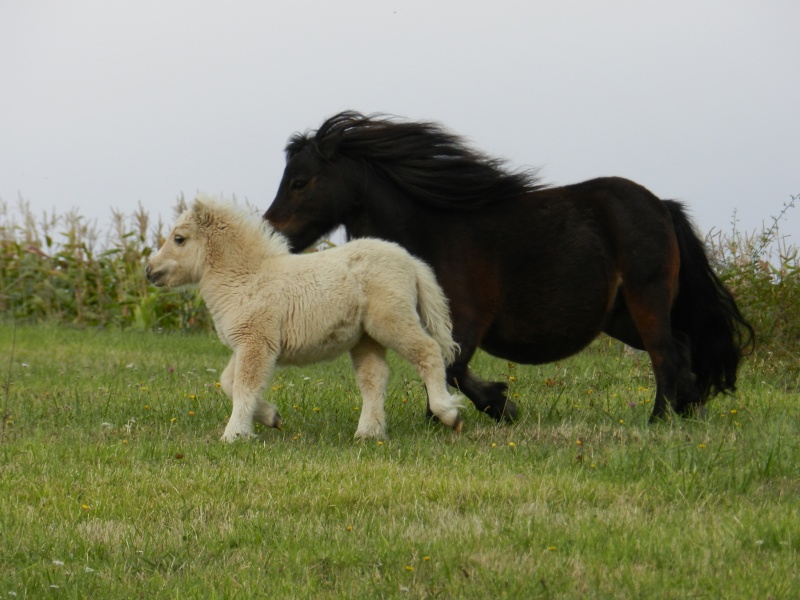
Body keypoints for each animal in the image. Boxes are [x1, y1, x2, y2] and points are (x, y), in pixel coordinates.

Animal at [264, 112, 756, 422]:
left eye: (299, 181)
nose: (271, 232)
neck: (429, 230)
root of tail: (662, 206)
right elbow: (445, 368)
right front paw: (485, 408)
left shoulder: (466, 320)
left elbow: (449, 367)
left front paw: (486, 408)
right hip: (621, 316)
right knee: (683, 347)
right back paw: (690, 410)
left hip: (645, 299)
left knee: (665, 355)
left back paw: (659, 420)